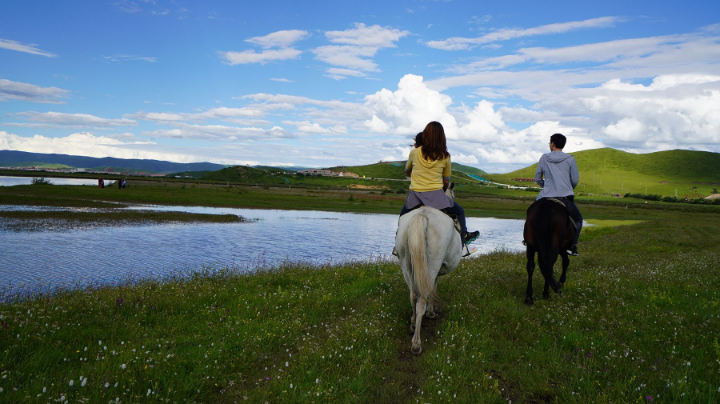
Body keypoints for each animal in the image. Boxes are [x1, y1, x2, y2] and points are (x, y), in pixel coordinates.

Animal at [394, 183, 462, 354]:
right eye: (454, 195)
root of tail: (422, 215)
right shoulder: (435, 270)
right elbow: (433, 289)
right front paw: (431, 313)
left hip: (406, 264)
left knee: (413, 296)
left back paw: (412, 325)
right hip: (431, 264)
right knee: (422, 300)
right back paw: (416, 344)